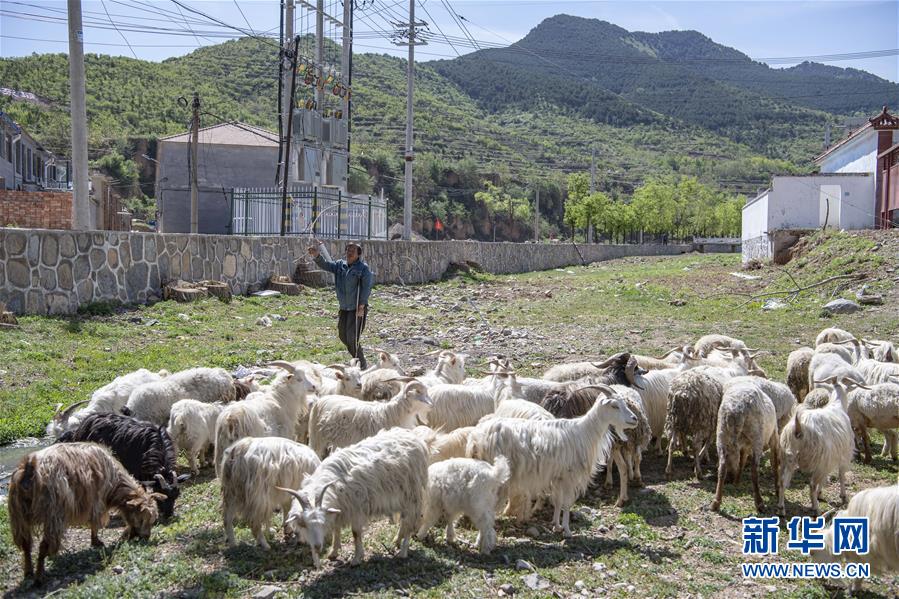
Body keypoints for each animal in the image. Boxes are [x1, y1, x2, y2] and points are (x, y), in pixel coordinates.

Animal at [8, 442, 163, 584]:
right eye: (142, 518)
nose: (146, 537)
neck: (115, 483)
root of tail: (30, 466)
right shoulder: (97, 502)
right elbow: (95, 524)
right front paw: (96, 542)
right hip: (53, 515)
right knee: (43, 545)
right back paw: (39, 576)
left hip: (19, 516)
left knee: (26, 544)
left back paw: (29, 571)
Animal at [282, 426, 436, 568]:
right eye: (304, 525)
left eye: (322, 523)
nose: (317, 547)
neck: (332, 484)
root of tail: (417, 439)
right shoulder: (340, 509)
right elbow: (336, 529)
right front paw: (333, 552)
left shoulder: (356, 509)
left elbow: (355, 534)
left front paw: (356, 558)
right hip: (404, 497)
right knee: (404, 521)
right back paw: (396, 540)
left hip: (412, 495)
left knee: (409, 523)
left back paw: (403, 552)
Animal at [468, 386, 636, 536]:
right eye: (614, 406)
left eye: (625, 404)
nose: (634, 419)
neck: (584, 432)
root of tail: (476, 438)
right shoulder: (569, 476)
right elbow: (566, 503)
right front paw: (567, 531)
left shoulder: (558, 476)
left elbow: (558, 501)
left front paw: (556, 525)